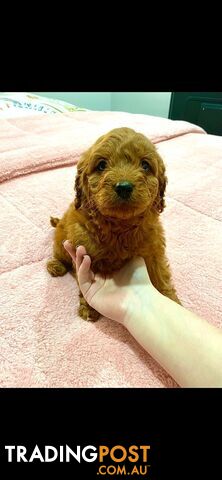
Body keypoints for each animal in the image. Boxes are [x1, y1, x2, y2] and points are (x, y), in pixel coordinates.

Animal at [46, 127, 180, 318]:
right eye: (102, 165)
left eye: (145, 165)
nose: (123, 187)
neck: (121, 225)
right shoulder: (83, 249)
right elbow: (84, 278)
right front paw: (89, 307)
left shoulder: (154, 250)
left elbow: (161, 275)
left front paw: (171, 301)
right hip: (60, 241)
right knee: (59, 254)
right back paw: (55, 265)